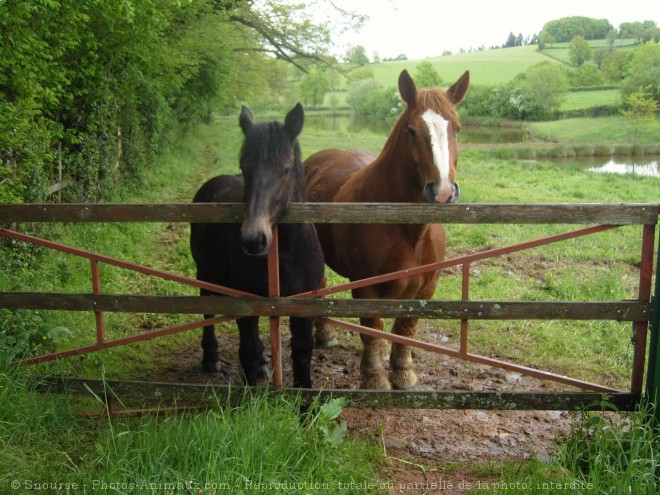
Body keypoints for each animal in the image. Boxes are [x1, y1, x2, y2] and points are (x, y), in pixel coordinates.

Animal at [188, 104, 324, 390]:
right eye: (244, 167)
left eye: (286, 169)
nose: (254, 239)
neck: (285, 253)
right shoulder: (245, 302)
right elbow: (248, 351)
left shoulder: (305, 303)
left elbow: (302, 351)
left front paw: (306, 398)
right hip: (205, 273)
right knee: (207, 309)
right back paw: (210, 358)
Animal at [304, 70, 470, 392]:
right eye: (412, 131)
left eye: (457, 129)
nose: (443, 192)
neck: (406, 229)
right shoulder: (365, 286)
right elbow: (373, 331)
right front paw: (375, 378)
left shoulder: (426, 287)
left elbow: (405, 330)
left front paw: (404, 374)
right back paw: (325, 333)